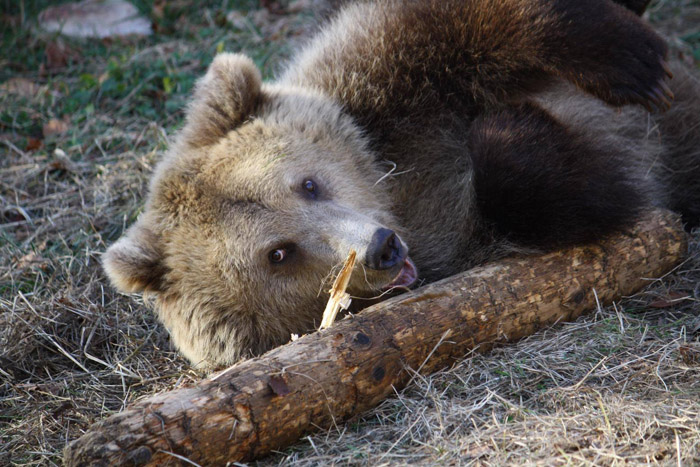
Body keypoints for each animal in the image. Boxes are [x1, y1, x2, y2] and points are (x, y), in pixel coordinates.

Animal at [102, 0, 700, 370]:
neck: (400, 193)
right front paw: (514, 128)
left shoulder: (381, 84)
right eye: (279, 253)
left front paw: (634, 62)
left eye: (308, 184)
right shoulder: (466, 244)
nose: (382, 247)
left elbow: (445, 22)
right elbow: (590, 194)